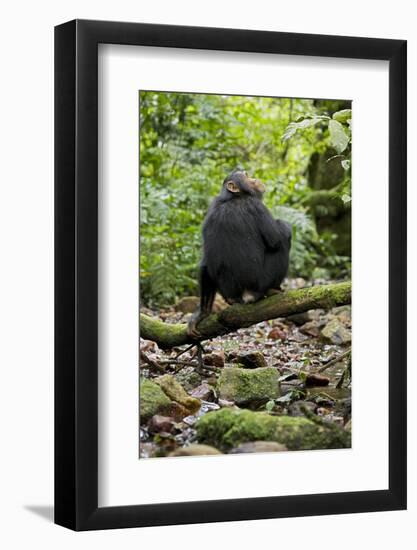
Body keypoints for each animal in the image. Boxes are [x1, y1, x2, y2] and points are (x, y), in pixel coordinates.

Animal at [187, 170, 290, 338]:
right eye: (245, 175)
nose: (253, 178)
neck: (232, 197)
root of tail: (244, 295)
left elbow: (205, 262)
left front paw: (201, 313)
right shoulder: (256, 206)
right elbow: (276, 240)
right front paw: (284, 227)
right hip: (261, 282)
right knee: (282, 245)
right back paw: (274, 289)